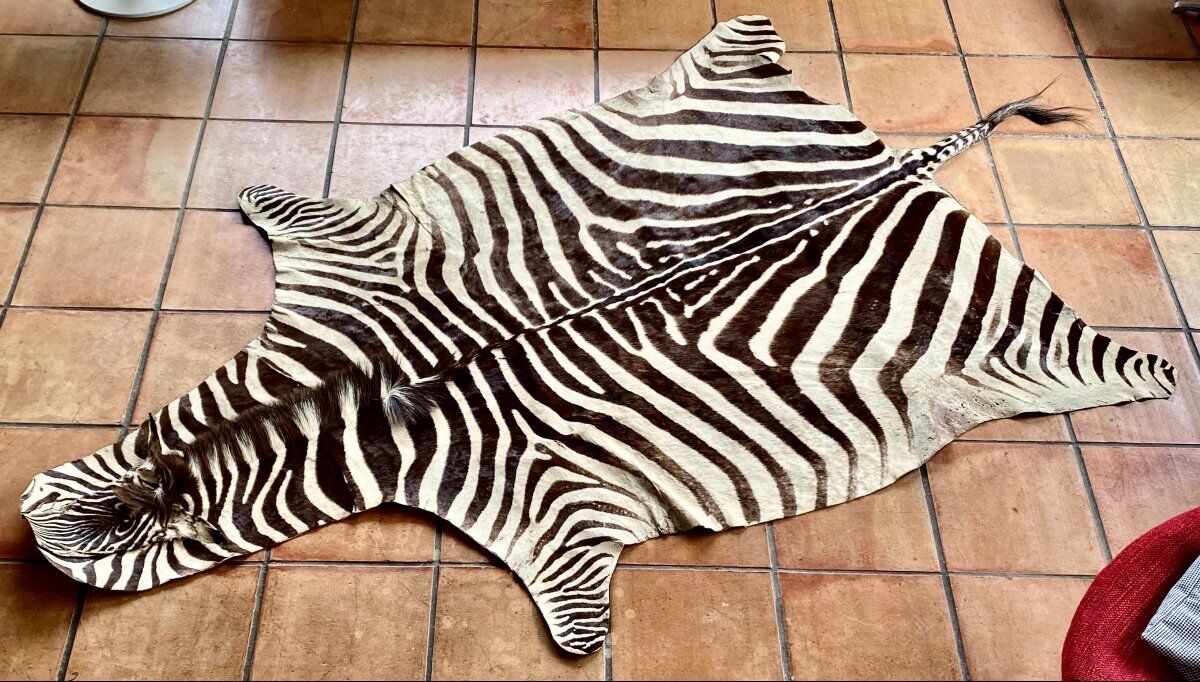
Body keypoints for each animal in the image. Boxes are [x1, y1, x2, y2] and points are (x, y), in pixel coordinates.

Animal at [21, 15, 1175, 655]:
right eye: (110, 485)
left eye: (137, 544)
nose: (36, 536)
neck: (379, 386)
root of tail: (886, 166)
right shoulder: (347, 259)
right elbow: (292, 212)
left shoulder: (556, 507)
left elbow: (574, 611)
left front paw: (585, 642)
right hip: (724, 84)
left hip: (1038, 354)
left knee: (1122, 367)